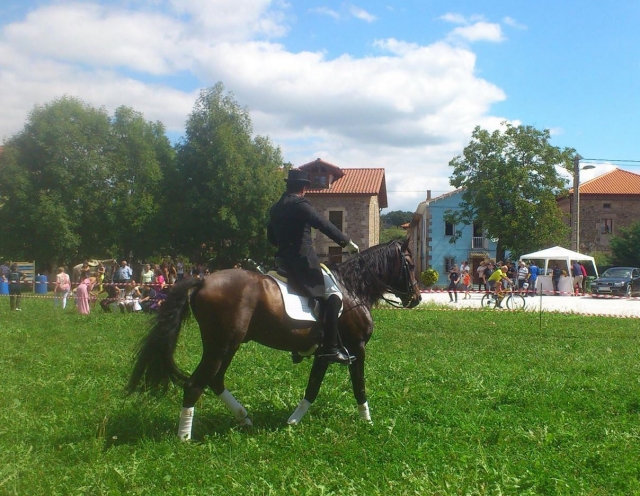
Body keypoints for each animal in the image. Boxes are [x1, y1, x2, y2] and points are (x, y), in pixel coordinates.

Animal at [127, 240, 422, 440]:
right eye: (410, 265)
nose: (416, 298)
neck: (352, 289)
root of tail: (202, 280)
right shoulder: (356, 348)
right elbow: (359, 386)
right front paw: (367, 421)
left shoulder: (324, 353)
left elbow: (312, 388)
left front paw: (293, 421)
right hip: (220, 346)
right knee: (194, 384)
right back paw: (184, 438)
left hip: (229, 346)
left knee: (214, 380)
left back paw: (244, 419)